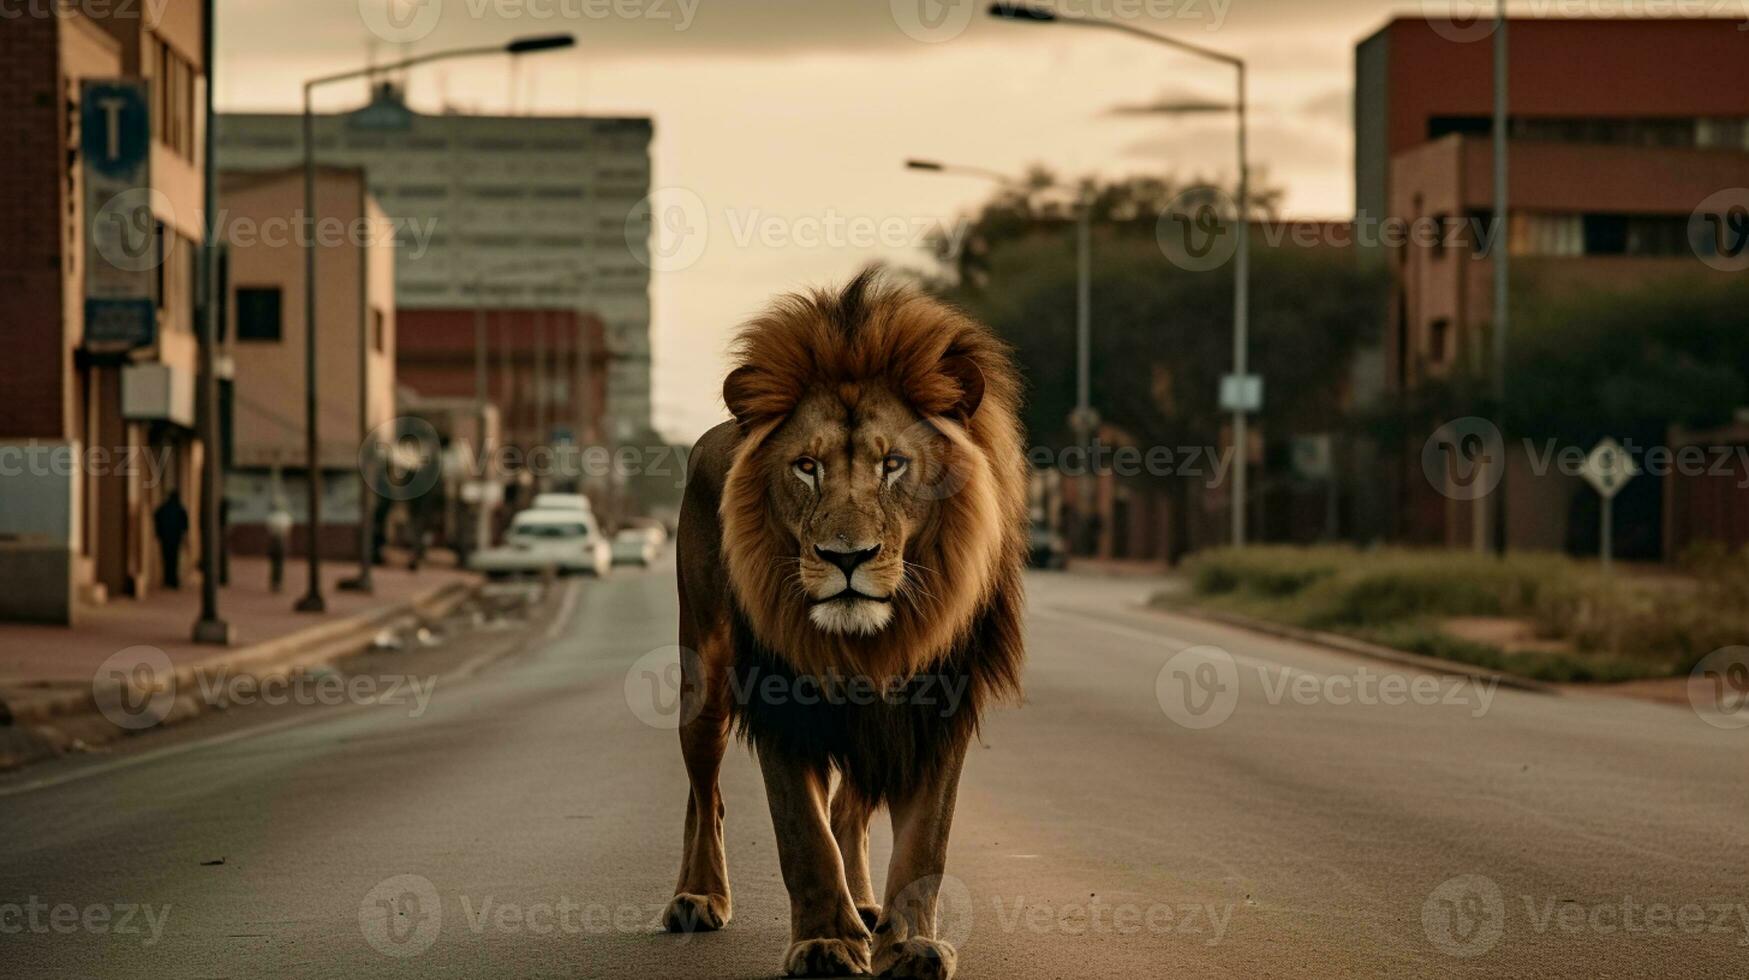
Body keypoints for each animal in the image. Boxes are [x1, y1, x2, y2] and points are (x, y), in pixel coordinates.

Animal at [661, 269, 1028, 980]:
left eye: (893, 465)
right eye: (808, 466)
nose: (847, 557)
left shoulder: (936, 706)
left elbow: (924, 845)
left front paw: (908, 945)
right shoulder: (779, 701)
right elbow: (803, 836)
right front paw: (826, 944)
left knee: (848, 808)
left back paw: (865, 908)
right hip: (705, 674)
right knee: (704, 791)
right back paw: (697, 897)